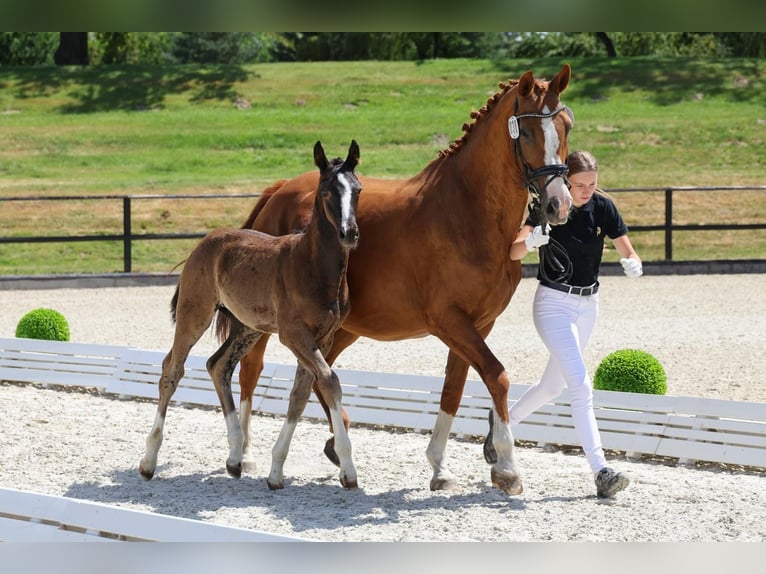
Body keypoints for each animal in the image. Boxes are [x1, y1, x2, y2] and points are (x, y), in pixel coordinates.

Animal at [139, 140, 363, 490]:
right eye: (327, 190)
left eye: (358, 190)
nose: (349, 233)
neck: (312, 265)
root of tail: (205, 241)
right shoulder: (294, 334)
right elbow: (329, 381)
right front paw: (348, 469)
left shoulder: (322, 337)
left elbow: (300, 395)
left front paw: (276, 472)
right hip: (195, 312)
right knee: (172, 368)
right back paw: (149, 462)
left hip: (249, 327)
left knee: (218, 365)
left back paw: (235, 458)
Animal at [220, 64, 574, 495]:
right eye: (526, 133)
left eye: (566, 126)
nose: (559, 205)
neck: (464, 210)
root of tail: (278, 192)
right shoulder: (449, 321)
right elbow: (497, 376)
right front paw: (507, 468)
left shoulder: (478, 324)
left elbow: (453, 389)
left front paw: (439, 467)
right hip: (267, 322)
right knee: (251, 369)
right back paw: (246, 454)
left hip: (340, 328)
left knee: (320, 376)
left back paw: (337, 448)